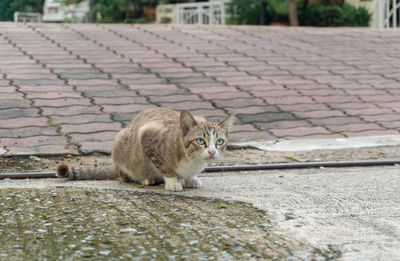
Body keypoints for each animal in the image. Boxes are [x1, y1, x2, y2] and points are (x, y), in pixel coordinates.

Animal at [57, 107, 236, 191]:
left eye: (219, 141)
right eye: (200, 141)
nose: (212, 152)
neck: (192, 161)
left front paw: (191, 178)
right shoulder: (147, 135)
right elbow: (164, 166)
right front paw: (173, 181)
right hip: (120, 143)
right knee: (124, 175)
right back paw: (145, 178)